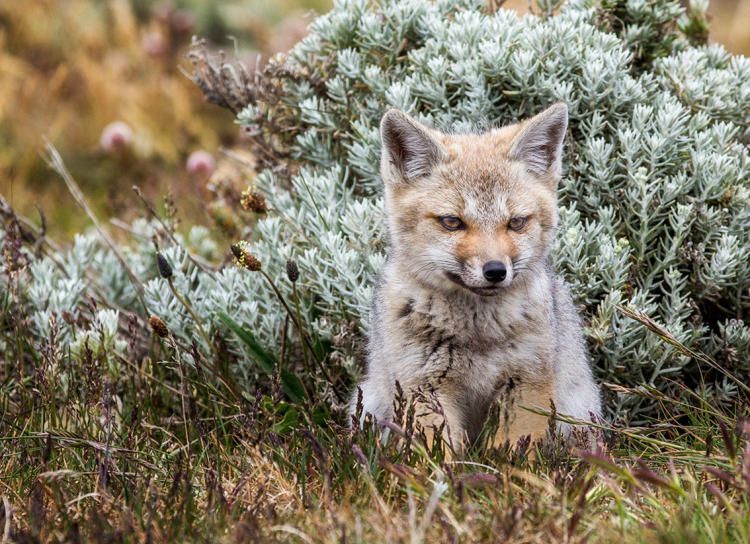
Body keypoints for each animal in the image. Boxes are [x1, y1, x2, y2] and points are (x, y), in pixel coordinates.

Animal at [352, 104, 604, 452]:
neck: (478, 335)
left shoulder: (526, 384)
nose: (495, 271)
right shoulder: (425, 386)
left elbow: (516, 454)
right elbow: (438, 456)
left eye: (516, 222)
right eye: (452, 222)